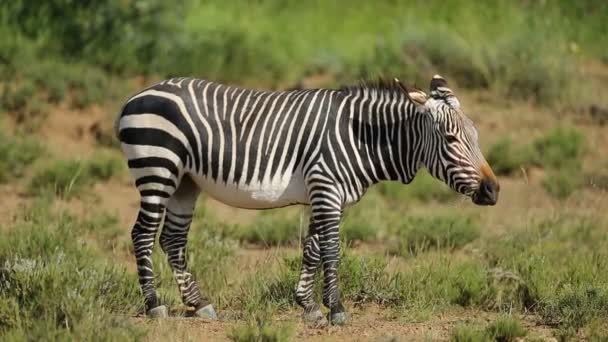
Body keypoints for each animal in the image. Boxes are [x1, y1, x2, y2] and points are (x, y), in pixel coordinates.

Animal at [115, 73, 498, 324]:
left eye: (476, 135)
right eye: (450, 139)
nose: (493, 191)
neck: (362, 138)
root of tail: (138, 95)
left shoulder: (323, 194)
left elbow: (312, 248)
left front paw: (309, 306)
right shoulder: (326, 187)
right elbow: (331, 249)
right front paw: (337, 309)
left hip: (185, 182)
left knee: (173, 240)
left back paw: (199, 304)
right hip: (158, 169)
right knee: (143, 235)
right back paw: (154, 306)